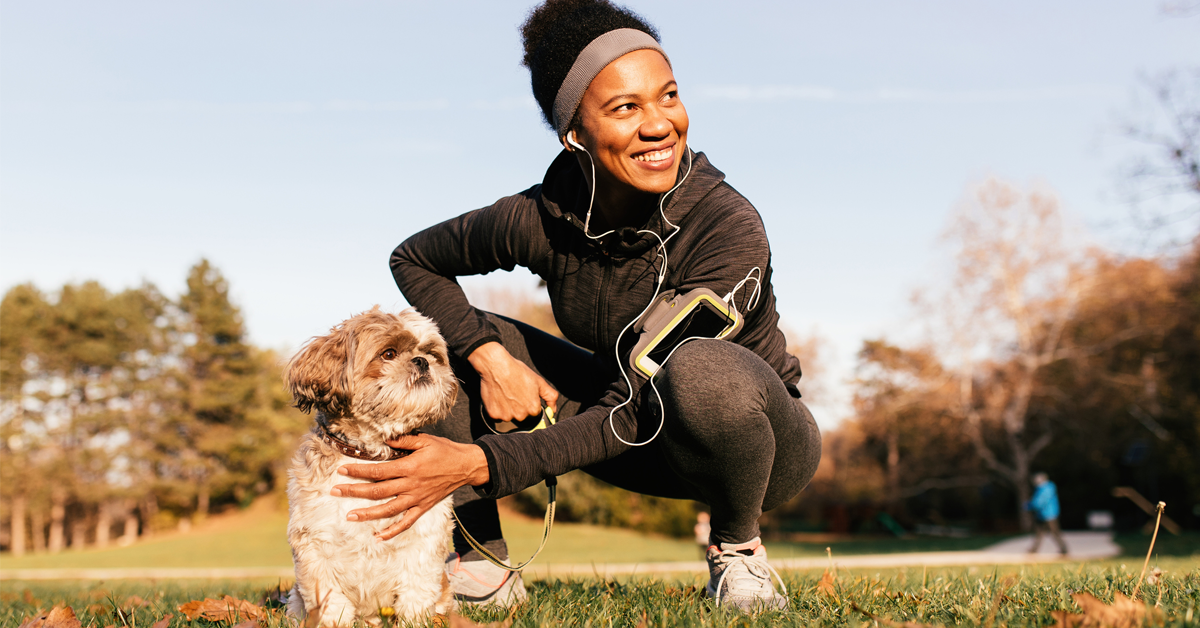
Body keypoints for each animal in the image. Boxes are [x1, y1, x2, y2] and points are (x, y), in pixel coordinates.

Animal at [283, 307, 460, 624]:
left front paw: (414, 622)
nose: (422, 361)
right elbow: (330, 602)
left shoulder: (423, 540)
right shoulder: (315, 545)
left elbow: (416, 594)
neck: (368, 455)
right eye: (388, 354)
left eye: (431, 353)